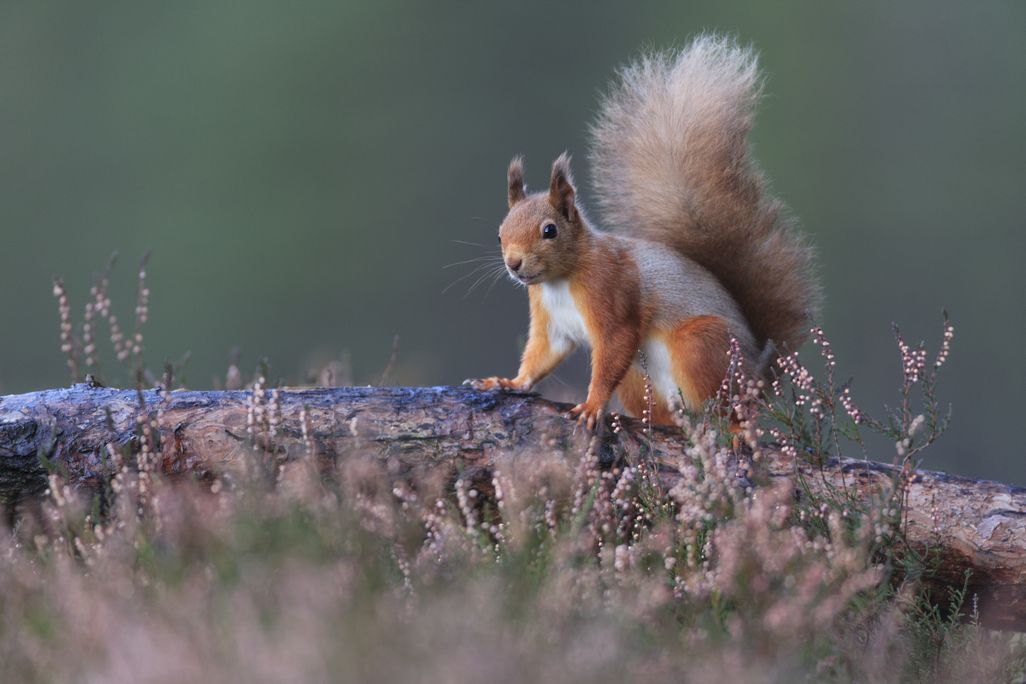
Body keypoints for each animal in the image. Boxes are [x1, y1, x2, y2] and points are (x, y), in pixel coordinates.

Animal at [467, 35, 820, 430]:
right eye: (500, 234)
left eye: (550, 230)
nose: (513, 264)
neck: (561, 280)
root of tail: (758, 378)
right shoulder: (551, 322)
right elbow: (542, 355)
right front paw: (506, 382)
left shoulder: (611, 292)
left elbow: (614, 345)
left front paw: (592, 405)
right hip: (639, 379)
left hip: (701, 346)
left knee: (726, 408)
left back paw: (733, 426)